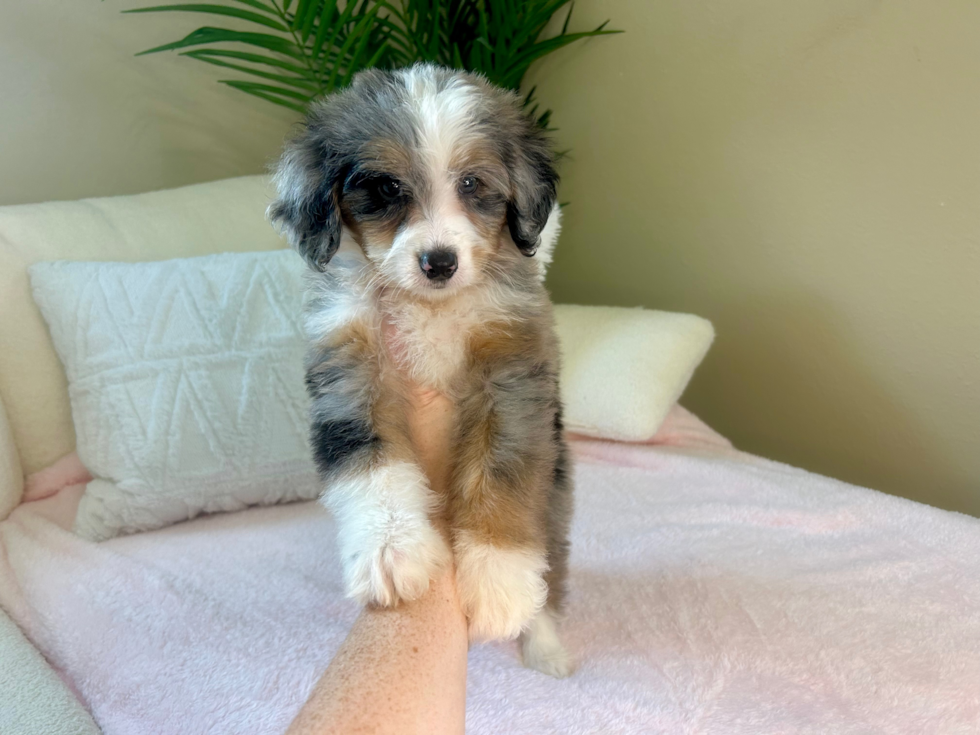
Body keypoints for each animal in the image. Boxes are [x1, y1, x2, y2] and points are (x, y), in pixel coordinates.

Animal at [270, 64, 576, 680]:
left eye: (472, 184)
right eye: (387, 188)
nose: (439, 263)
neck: (430, 309)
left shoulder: (512, 375)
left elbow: (502, 471)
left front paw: (499, 580)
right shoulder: (349, 370)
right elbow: (373, 466)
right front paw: (391, 550)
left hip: (556, 500)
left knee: (553, 568)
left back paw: (546, 644)